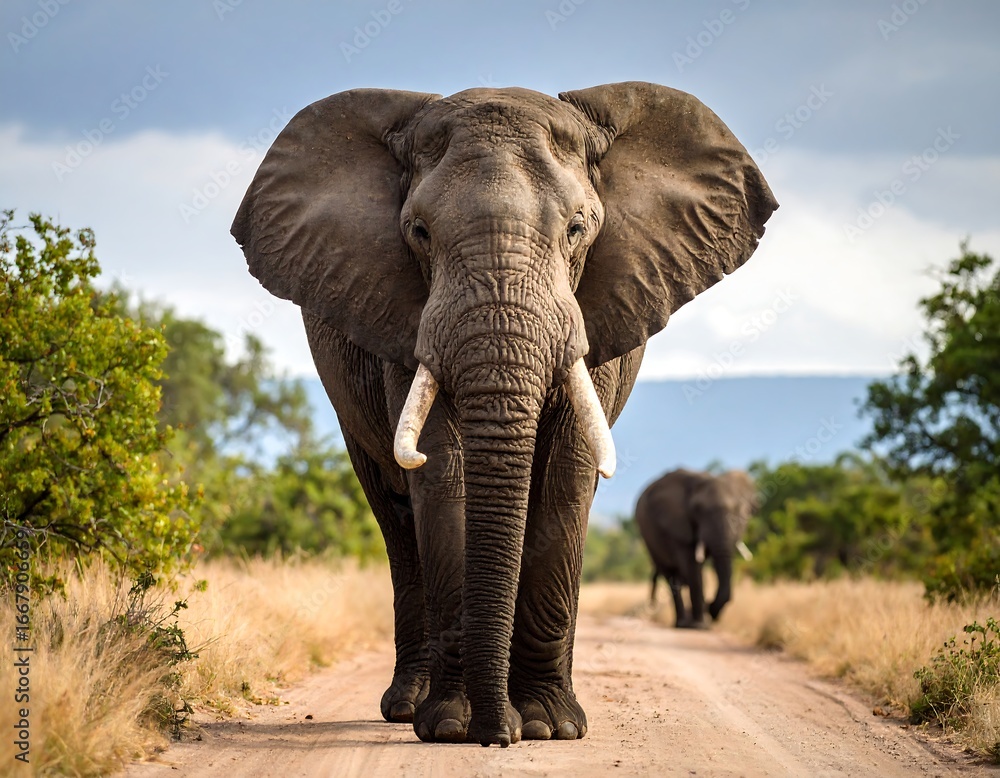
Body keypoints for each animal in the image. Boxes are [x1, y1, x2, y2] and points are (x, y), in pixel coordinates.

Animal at [635, 469, 758, 628]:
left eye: (740, 511)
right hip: (649, 540)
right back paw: (682, 623)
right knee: (671, 576)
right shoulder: (678, 526)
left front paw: (704, 619)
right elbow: (692, 567)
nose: (711, 608)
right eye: (698, 510)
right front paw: (701, 626)